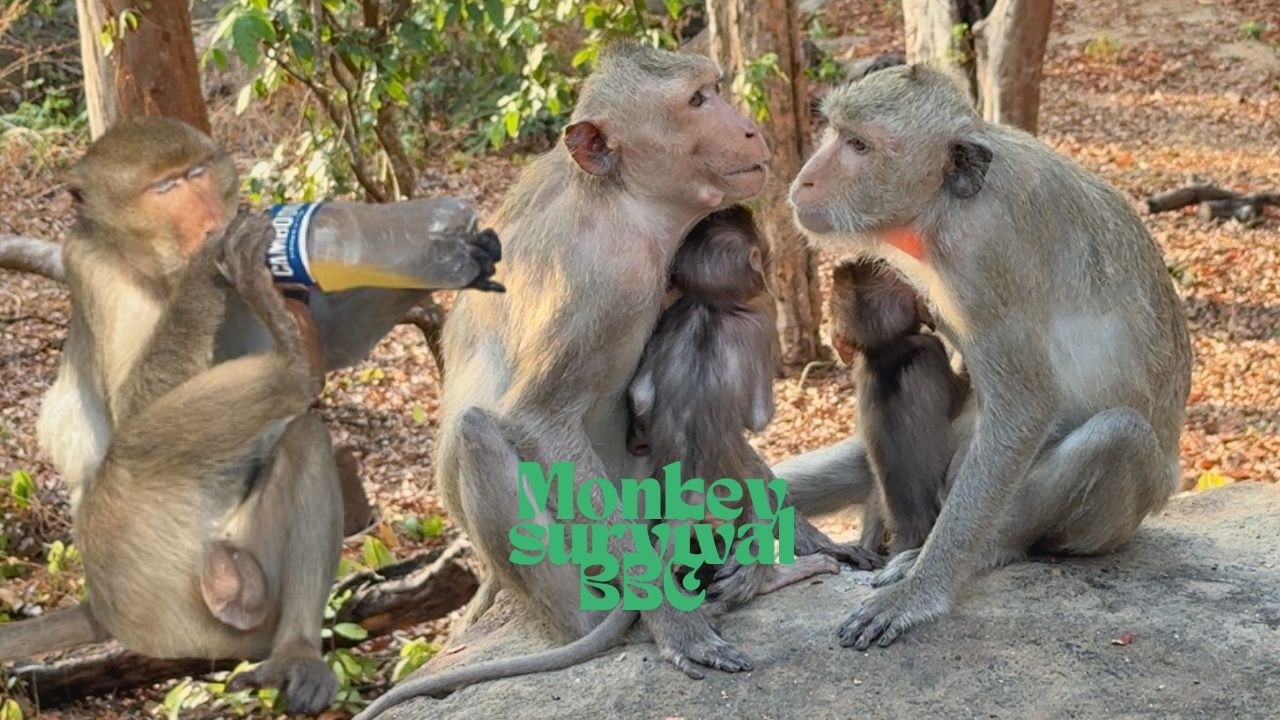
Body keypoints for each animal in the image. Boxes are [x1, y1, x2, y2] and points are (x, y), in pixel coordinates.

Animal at [5, 117, 502, 713]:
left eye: (197, 173)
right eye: (164, 188)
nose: (208, 218)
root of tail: (101, 611)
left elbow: (334, 343)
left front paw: (463, 253)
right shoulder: (92, 270)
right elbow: (128, 414)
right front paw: (212, 259)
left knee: (304, 438)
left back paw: (292, 651)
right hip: (153, 601)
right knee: (131, 457)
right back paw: (290, 365)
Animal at [352, 43, 775, 720]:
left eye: (715, 88)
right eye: (697, 101)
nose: (748, 128)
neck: (624, 204)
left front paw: (758, 538)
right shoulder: (596, 283)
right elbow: (536, 418)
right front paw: (671, 619)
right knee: (479, 432)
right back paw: (600, 622)